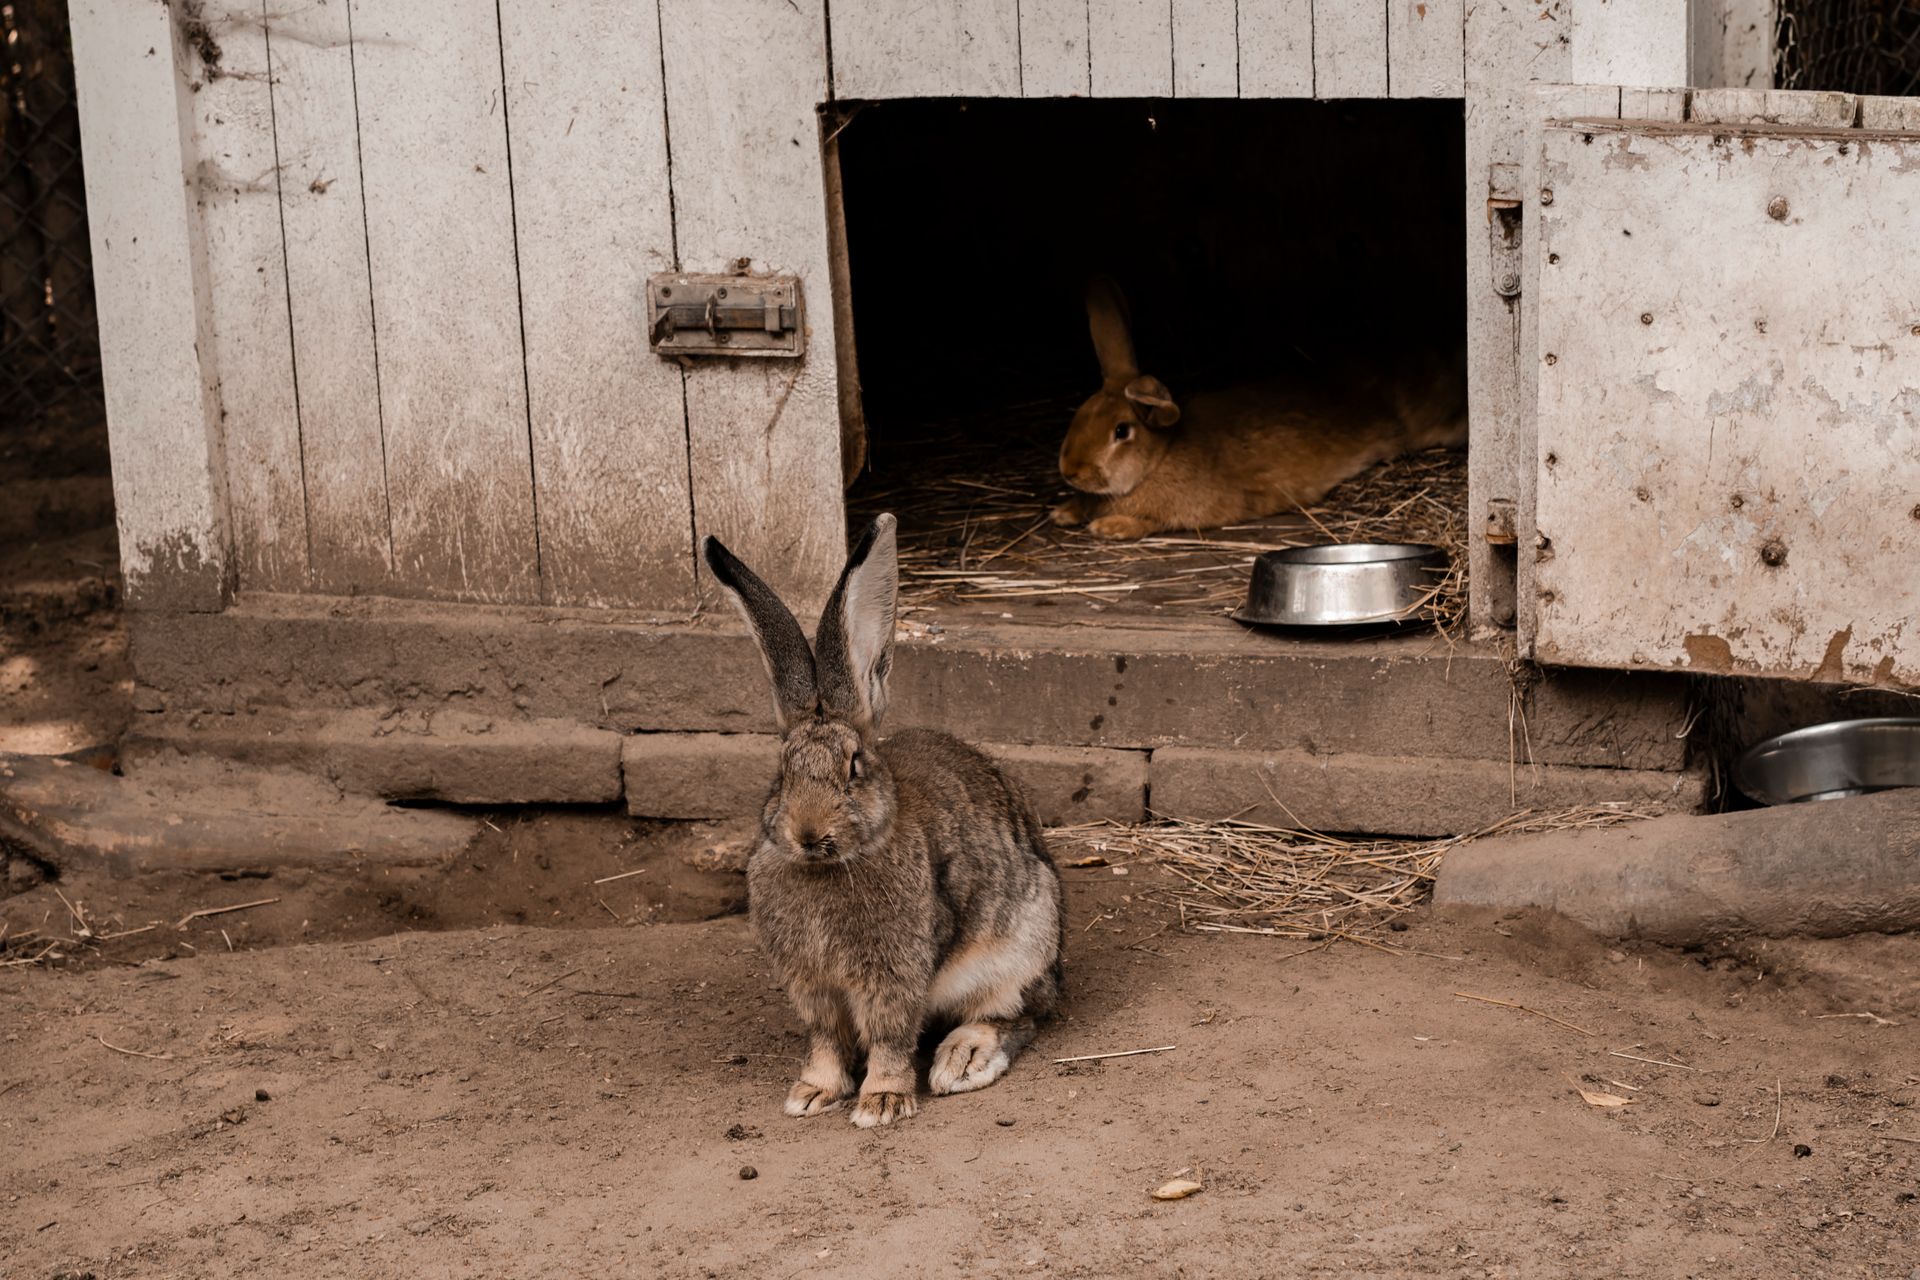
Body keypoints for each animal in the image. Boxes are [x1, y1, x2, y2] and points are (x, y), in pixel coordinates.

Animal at [702, 513, 1065, 1128]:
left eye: (854, 766)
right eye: (782, 771)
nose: (808, 833)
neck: (834, 866)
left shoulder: (892, 978)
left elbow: (890, 1036)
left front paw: (883, 1102)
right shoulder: (813, 986)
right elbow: (826, 1039)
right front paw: (812, 1093)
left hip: (1022, 948)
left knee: (1020, 1016)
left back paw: (962, 1060)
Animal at [1050, 276, 1468, 540]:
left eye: (1121, 431)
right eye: (1080, 413)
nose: (1070, 472)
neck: (1159, 460)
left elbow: (1154, 521)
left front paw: (1110, 527)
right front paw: (1065, 512)